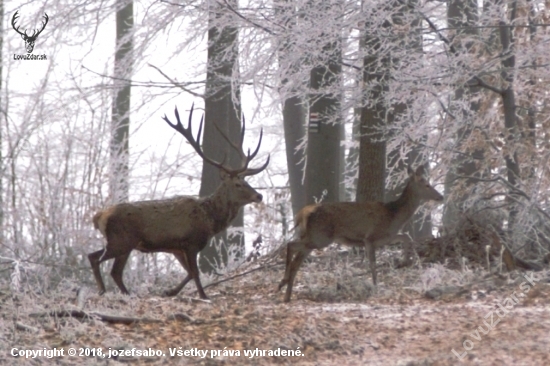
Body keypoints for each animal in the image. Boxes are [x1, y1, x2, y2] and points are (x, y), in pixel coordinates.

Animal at [89, 104, 270, 298]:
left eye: (247, 181)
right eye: (238, 184)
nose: (259, 196)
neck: (209, 220)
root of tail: (98, 216)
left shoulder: (176, 248)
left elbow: (189, 272)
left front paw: (169, 291)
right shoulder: (191, 243)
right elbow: (195, 272)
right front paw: (203, 296)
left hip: (122, 243)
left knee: (105, 264)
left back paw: (118, 292)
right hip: (121, 241)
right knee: (101, 262)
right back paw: (108, 291)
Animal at [280, 167, 444, 304]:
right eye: (427, 184)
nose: (441, 196)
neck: (394, 216)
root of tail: (303, 213)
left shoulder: (386, 236)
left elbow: (406, 237)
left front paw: (403, 262)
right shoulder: (371, 237)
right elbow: (373, 263)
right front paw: (376, 285)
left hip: (313, 237)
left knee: (296, 259)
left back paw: (286, 294)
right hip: (320, 237)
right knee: (291, 245)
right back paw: (283, 282)